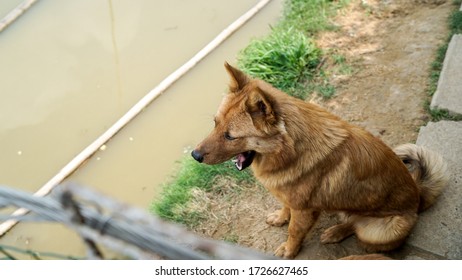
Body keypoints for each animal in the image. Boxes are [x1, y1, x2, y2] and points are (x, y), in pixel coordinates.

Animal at [191, 61, 448, 258]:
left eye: (230, 136)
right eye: (215, 124)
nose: (195, 155)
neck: (291, 149)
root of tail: (418, 194)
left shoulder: (304, 211)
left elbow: (294, 231)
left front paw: (289, 250)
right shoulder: (289, 198)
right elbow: (285, 207)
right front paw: (280, 217)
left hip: (381, 229)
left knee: (357, 226)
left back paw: (336, 232)